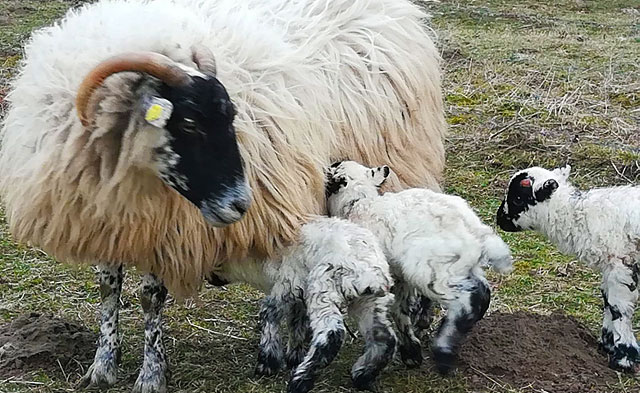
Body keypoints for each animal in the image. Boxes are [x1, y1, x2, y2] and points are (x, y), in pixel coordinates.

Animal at [205, 214, 396, 392]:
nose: (209, 278)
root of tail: (370, 274)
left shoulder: (286, 285)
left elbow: (269, 313)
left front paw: (268, 363)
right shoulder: (298, 294)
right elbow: (296, 321)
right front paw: (293, 355)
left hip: (324, 289)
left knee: (331, 337)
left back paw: (300, 381)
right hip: (369, 302)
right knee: (384, 337)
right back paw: (362, 375)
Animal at [328, 160, 512, 374]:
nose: (334, 162)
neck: (359, 203)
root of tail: (474, 230)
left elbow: (398, 311)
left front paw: (410, 354)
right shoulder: (399, 277)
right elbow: (402, 308)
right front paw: (412, 347)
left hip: (431, 271)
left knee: (467, 301)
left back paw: (443, 350)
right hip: (461, 267)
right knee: (482, 293)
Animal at [500, 164, 640, 372]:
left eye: (518, 198)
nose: (499, 220)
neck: (577, 215)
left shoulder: (622, 264)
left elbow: (618, 307)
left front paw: (623, 358)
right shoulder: (610, 267)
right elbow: (606, 300)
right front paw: (607, 344)